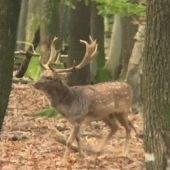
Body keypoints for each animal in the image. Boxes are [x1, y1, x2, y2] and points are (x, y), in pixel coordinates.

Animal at [33, 36, 137, 165]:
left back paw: (124, 153)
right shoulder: (74, 121)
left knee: (128, 128)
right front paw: (82, 155)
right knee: (115, 127)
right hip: (106, 114)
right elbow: (78, 138)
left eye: (50, 77)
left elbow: (69, 141)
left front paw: (63, 162)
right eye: (41, 74)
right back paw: (99, 150)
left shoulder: (79, 118)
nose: (35, 83)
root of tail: (130, 87)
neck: (69, 105)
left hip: (122, 110)